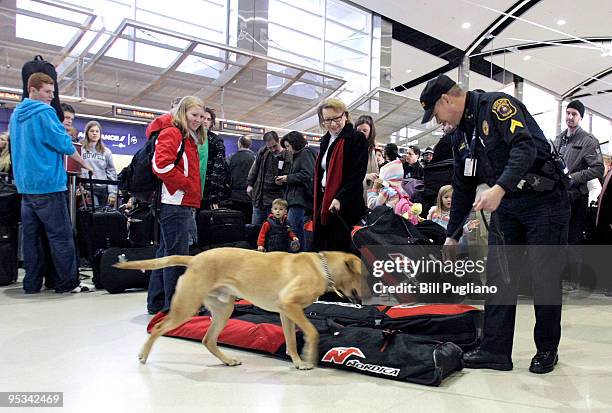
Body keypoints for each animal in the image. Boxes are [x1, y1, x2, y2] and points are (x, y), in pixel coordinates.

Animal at [114, 246, 364, 368]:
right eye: (362, 276)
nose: (365, 298)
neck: (322, 267)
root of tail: (193, 259)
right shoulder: (290, 305)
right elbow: (312, 332)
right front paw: (309, 356)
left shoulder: (286, 312)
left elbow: (291, 341)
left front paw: (297, 361)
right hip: (186, 307)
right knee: (158, 329)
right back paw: (144, 355)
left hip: (223, 310)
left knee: (208, 340)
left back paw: (227, 360)